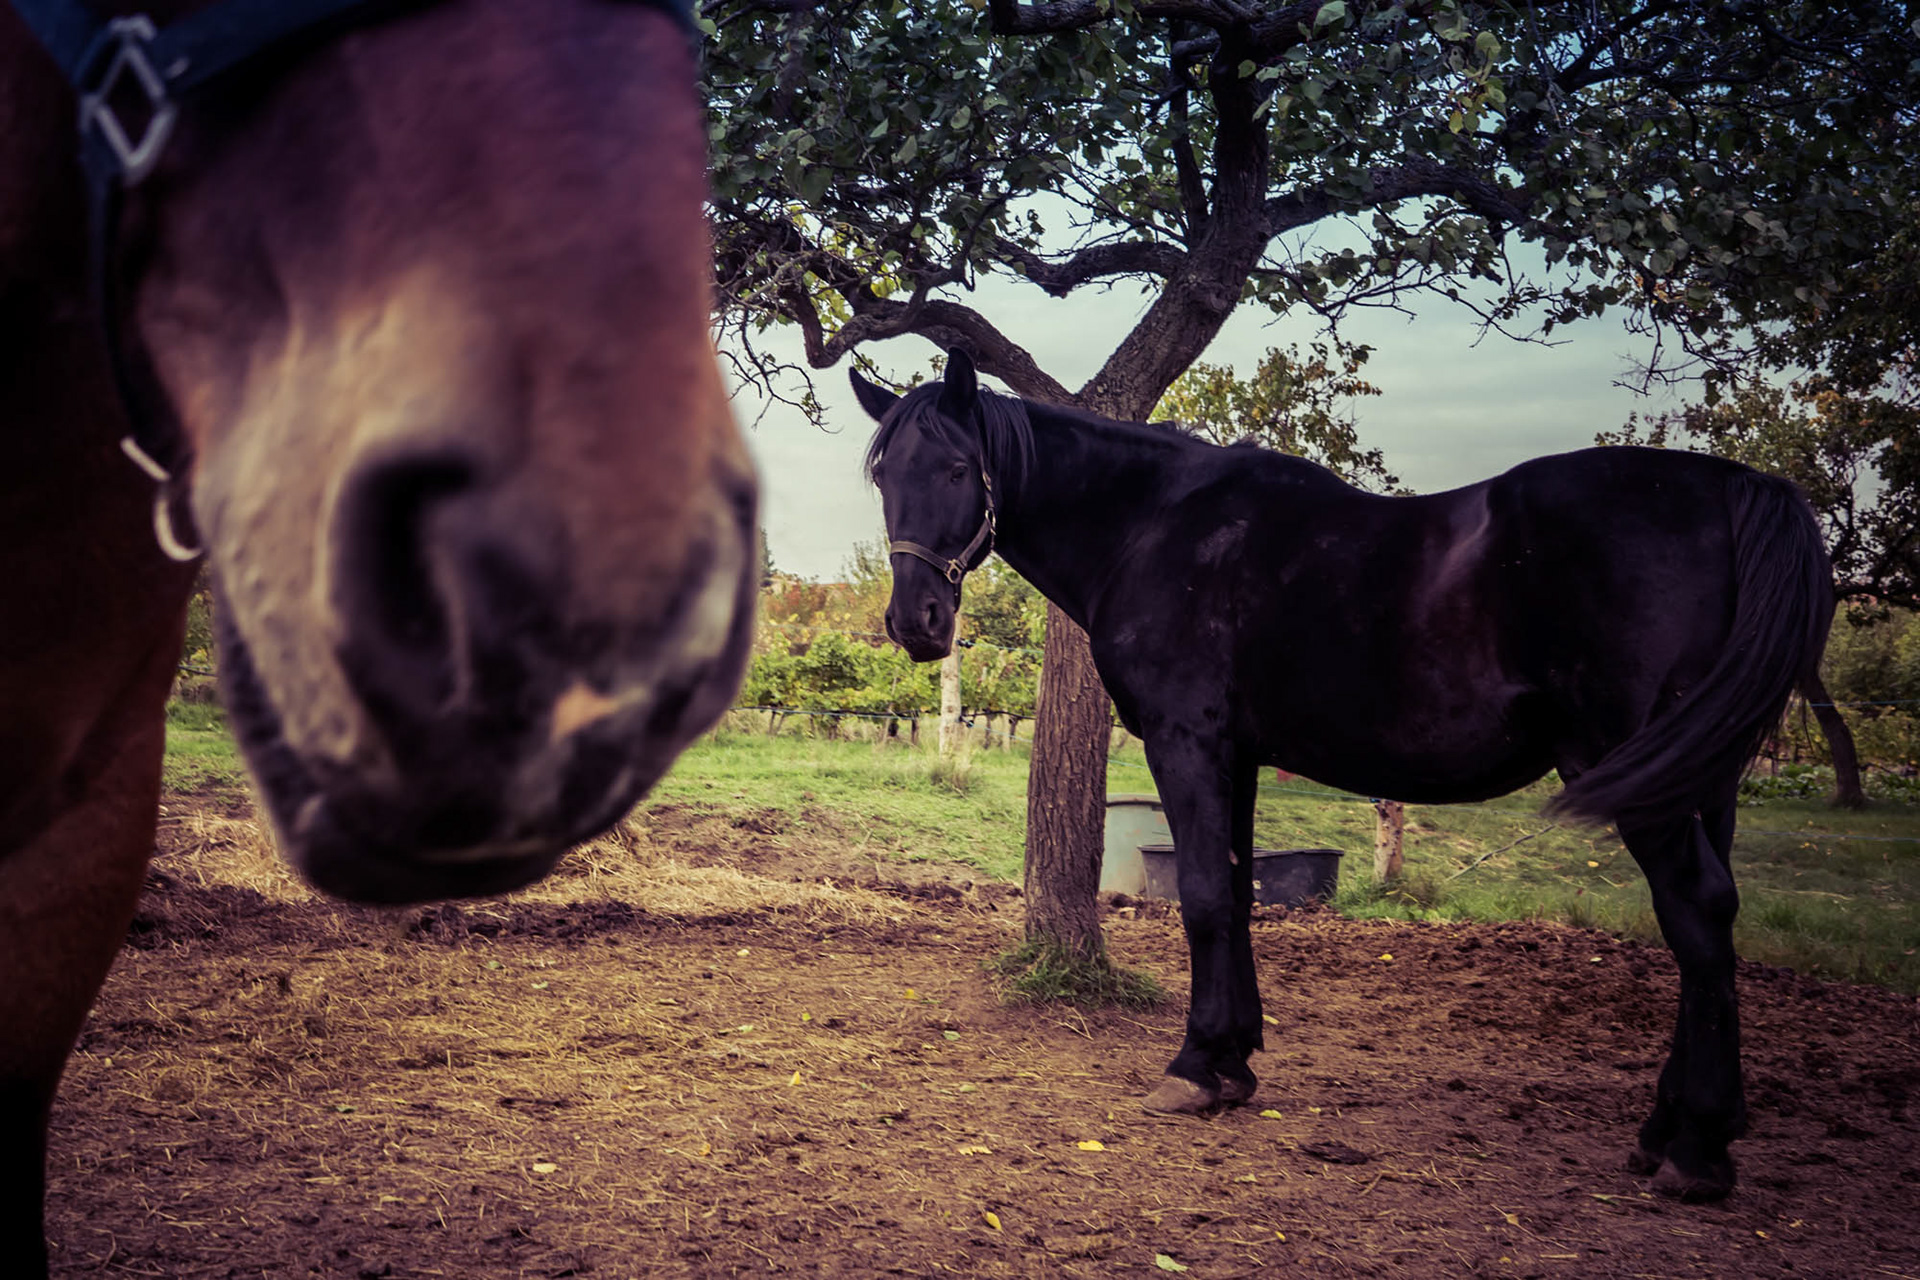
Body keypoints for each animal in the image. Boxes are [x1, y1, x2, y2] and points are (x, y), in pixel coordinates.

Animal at [855, 349, 1832, 1203]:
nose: (916, 621)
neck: (1155, 525)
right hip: (1701, 779)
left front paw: (1193, 1067)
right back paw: (1670, 1129)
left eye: (955, 466)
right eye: (881, 475)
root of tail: (1735, 488)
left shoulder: (1187, 741)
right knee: (1707, 924)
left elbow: (1203, 896)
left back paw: (1697, 1150)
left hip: (1634, 772)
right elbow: (1238, 893)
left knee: (1697, 915)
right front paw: (1234, 1060)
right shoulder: (1238, 756)